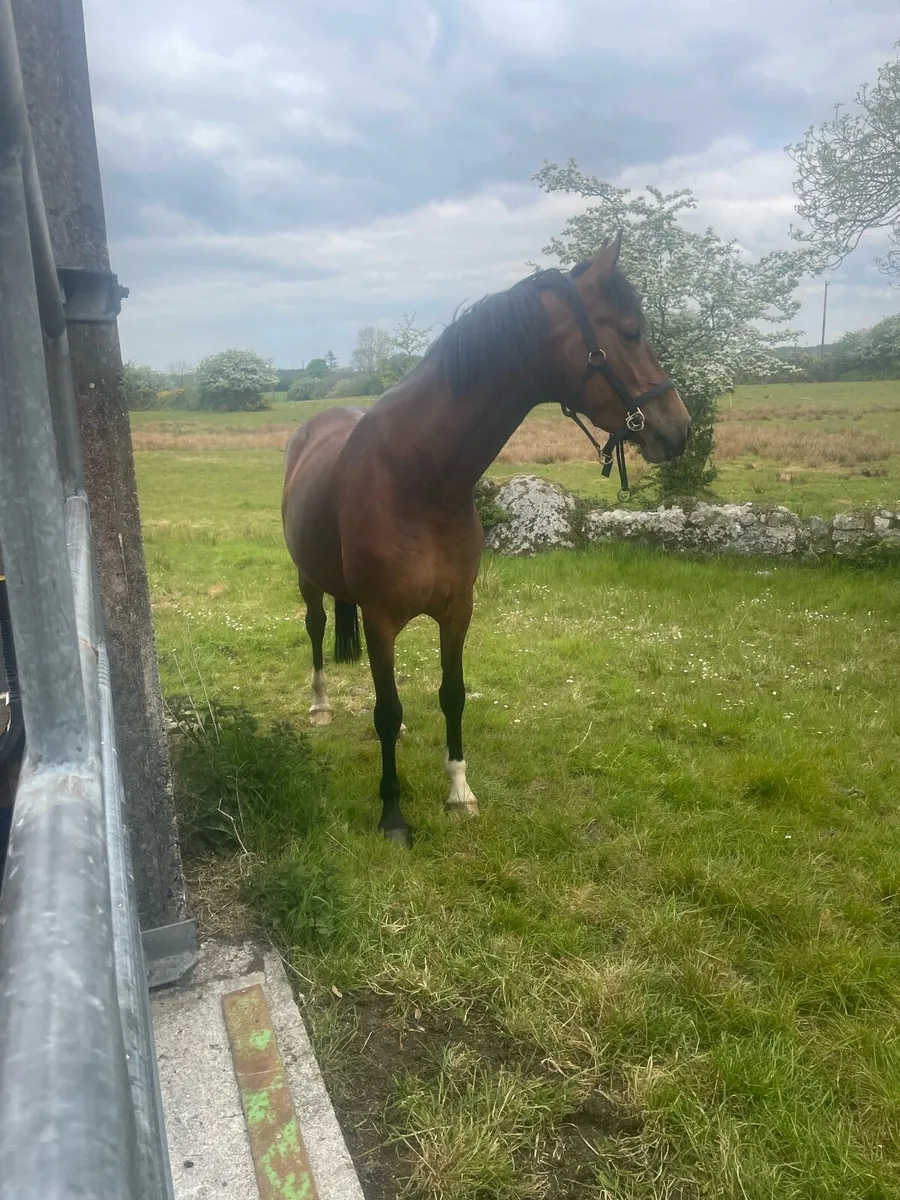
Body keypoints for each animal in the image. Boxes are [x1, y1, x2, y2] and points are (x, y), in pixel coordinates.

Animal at [282, 234, 692, 847]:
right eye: (629, 332)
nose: (680, 429)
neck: (418, 478)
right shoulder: (380, 617)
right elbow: (384, 709)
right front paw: (393, 816)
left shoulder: (458, 609)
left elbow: (449, 695)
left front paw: (459, 792)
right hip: (309, 580)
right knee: (316, 631)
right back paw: (320, 707)